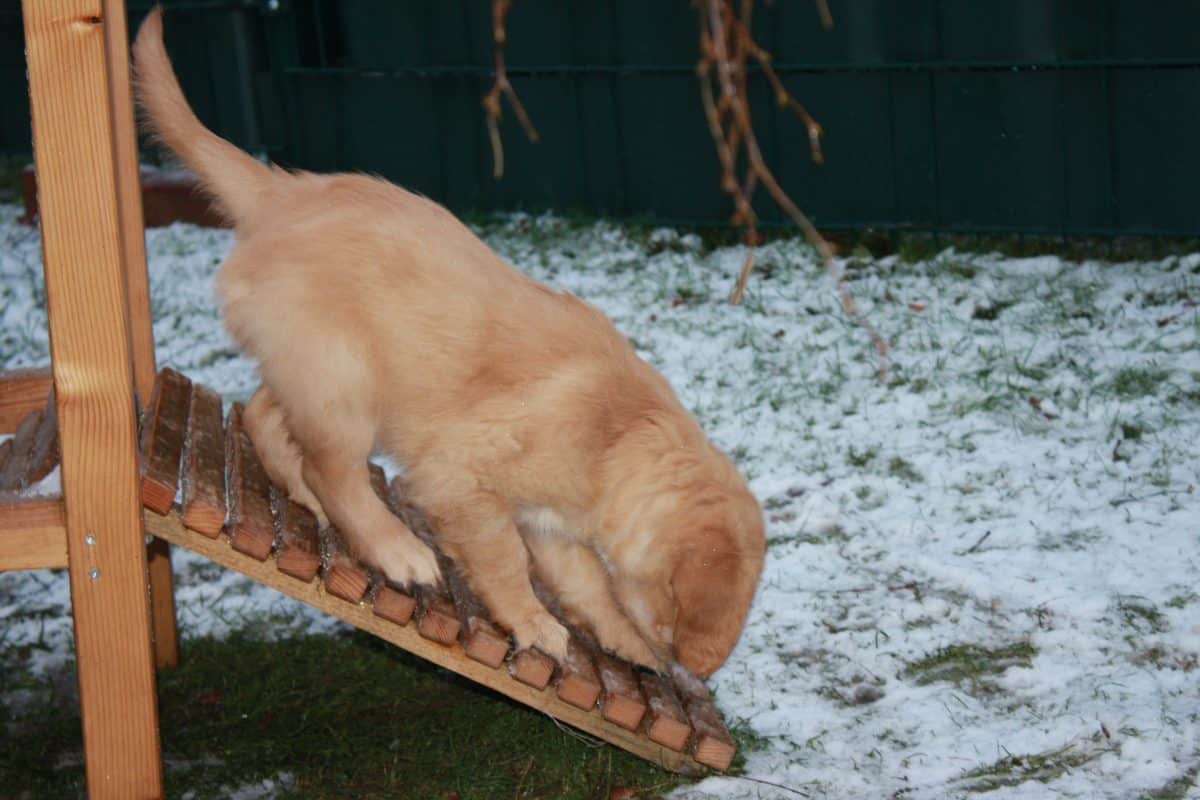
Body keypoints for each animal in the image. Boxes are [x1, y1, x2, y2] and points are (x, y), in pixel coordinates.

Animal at [131, 9, 763, 681]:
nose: (688, 673)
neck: (620, 435)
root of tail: (279, 193)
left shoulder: (552, 524)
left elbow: (586, 581)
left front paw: (621, 638)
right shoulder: (460, 480)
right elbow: (505, 560)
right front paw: (535, 624)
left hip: (311, 366)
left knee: (263, 414)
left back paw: (308, 500)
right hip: (346, 382)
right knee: (332, 467)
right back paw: (394, 548)